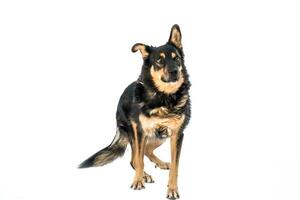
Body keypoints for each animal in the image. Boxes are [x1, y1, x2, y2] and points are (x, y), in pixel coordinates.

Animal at [79, 24, 190, 198]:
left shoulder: (177, 134)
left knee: (147, 152)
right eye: (159, 60)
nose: (175, 72)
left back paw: (161, 164)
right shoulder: (140, 131)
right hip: (136, 133)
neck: (164, 97)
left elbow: (175, 166)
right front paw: (138, 180)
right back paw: (144, 175)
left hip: (160, 135)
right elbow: (139, 160)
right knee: (135, 158)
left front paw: (172, 189)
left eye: (176, 58)